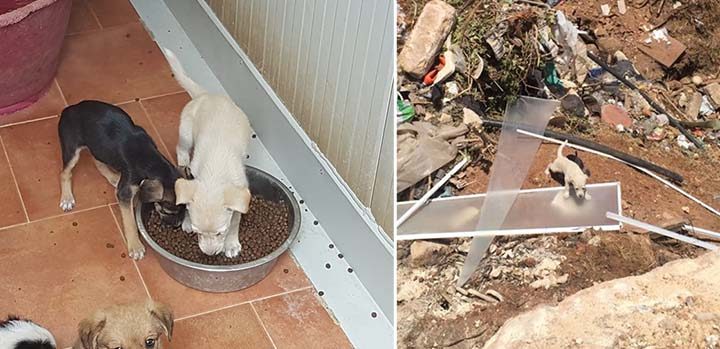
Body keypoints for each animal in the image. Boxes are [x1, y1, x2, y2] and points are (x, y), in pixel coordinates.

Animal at [58, 100, 186, 258]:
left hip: (98, 146)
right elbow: (129, 220)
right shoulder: (125, 192)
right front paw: (135, 246)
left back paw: (114, 177)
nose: (177, 226)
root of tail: (70, 108)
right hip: (72, 149)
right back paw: (67, 198)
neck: (150, 160)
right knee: (65, 173)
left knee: (98, 162)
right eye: (169, 211)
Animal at [163, 47, 253, 256]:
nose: (209, 254)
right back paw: (182, 161)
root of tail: (206, 95)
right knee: (181, 148)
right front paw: (187, 221)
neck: (214, 175)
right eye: (198, 232)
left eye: (221, 233)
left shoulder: (240, 191)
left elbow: (235, 220)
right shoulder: (194, 178)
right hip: (186, 133)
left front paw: (231, 244)